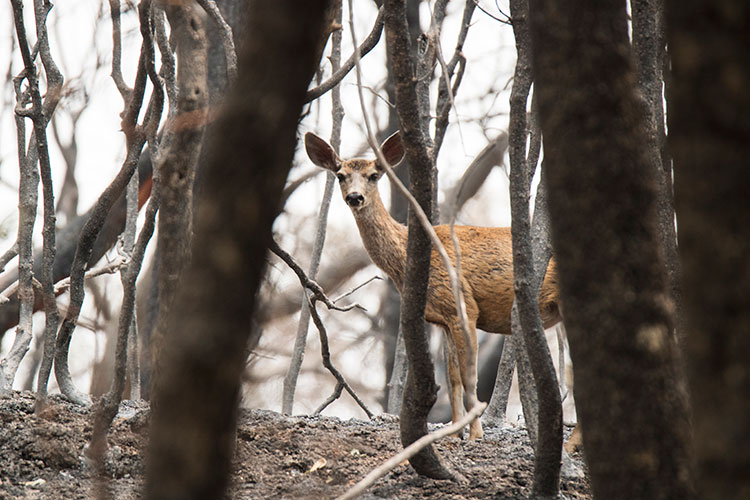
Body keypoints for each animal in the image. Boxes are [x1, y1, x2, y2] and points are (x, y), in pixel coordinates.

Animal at [306, 131, 564, 440]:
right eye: (341, 175)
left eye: (374, 175)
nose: (355, 197)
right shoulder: (443, 317)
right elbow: (453, 378)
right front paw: (454, 433)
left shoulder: (463, 305)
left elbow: (469, 376)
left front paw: (475, 435)